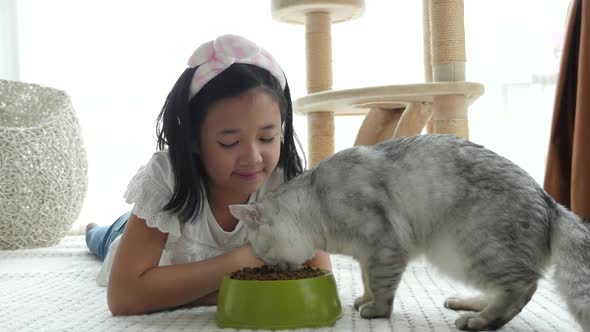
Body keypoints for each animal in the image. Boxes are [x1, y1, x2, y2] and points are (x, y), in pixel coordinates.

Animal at [229, 134, 588, 330]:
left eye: (262, 253)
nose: (273, 269)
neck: (317, 202)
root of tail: (552, 202)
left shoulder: (384, 245)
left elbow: (382, 287)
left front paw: (374, 311)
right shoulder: (366, 255)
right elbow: (368, 281)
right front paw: (363, 300)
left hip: (471, 248)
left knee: (523, 287)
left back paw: (479, 321)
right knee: (503, 289)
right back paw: (468, 304)